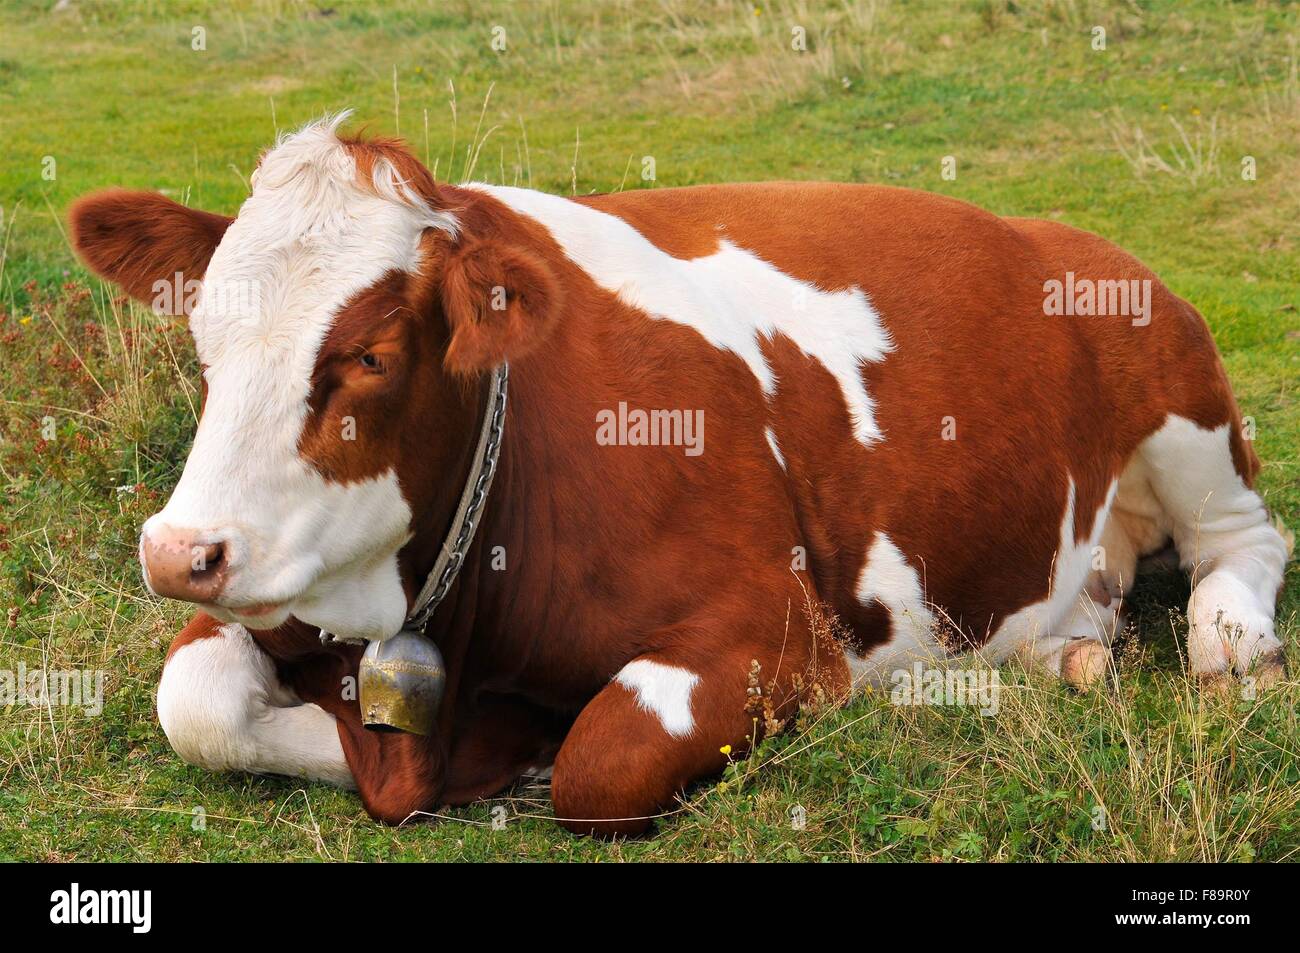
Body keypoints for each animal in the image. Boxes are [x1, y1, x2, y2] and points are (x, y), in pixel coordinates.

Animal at [71, 117, 1289, 832]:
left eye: (369, 354)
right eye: (203, 337)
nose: (180, 553)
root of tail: (1052, 231)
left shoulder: (774, 631)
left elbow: (598, 760)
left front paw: (522, 756)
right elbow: (195, 698)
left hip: (1178, 390)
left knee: (1246, 538)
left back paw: (1231, 644)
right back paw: (1067, 654)